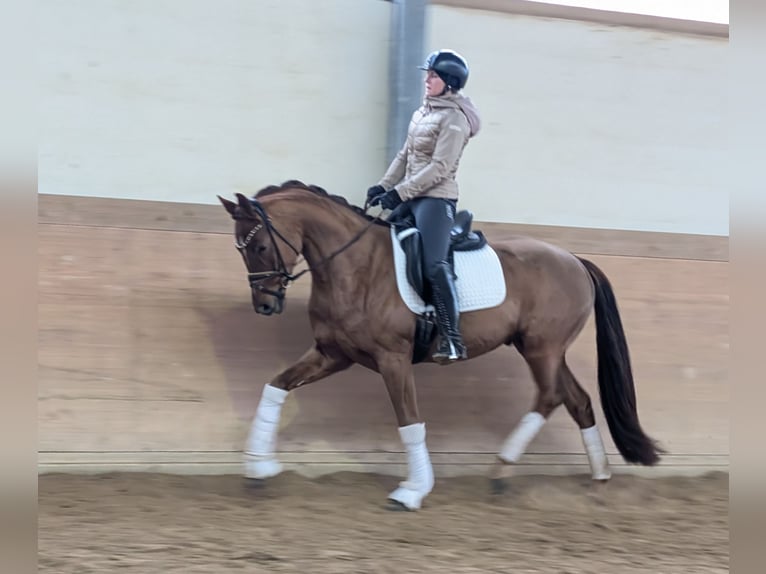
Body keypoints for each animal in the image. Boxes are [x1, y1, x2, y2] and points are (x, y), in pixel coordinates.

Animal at [218, 181, 664, 512]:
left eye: (259, 246)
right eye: (240, 249)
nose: (265, 305)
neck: (356, 267)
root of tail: (574, 259)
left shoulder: (393, 359)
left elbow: (409, 421)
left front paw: (412, 490)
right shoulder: (334, 355)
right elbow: (275, 387)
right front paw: (258, 467)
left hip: (543, 349)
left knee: (551, 396)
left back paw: (502, 469)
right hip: (543, 349)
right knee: (578, 400)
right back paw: (597, 479)